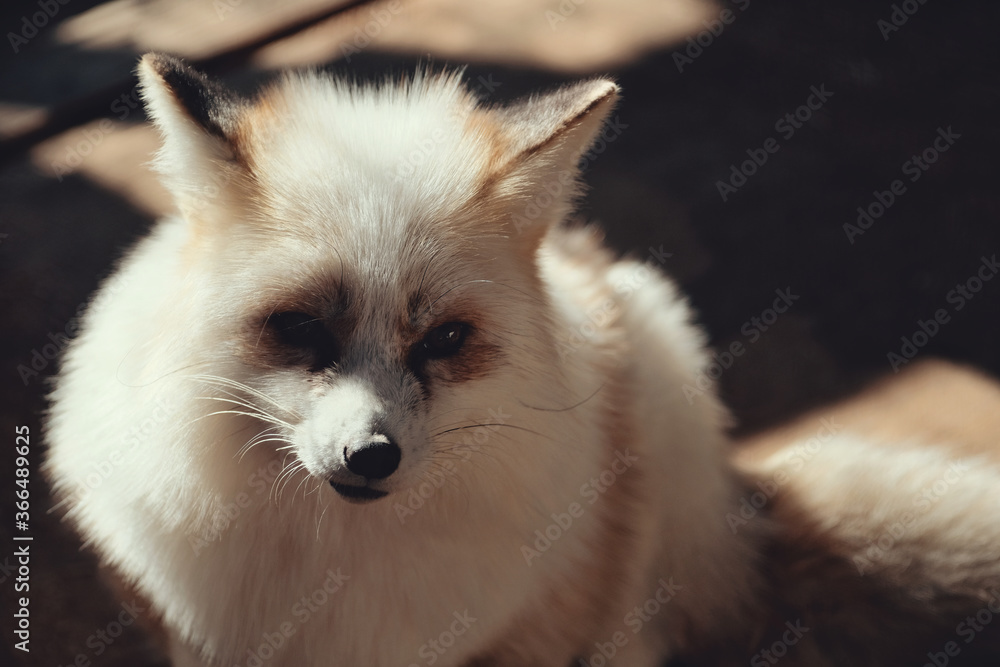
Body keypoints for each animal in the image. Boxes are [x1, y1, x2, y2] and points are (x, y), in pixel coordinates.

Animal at [45, 53, 1000, 666]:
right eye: (302, 327)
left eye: (445, 339)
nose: (371, 455)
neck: (337, 570)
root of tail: (733, 511)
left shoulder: (530, 628)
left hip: (657, 378)